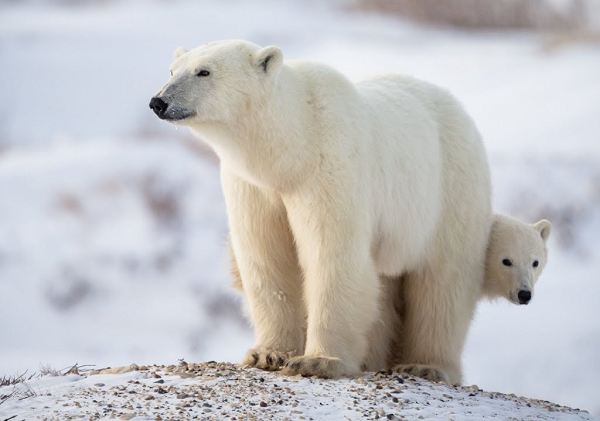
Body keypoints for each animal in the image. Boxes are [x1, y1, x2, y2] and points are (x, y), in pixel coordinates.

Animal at [150, 40, 492, 384]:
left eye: (204, 71)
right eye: (172, 71)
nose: (158, 102)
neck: (293, 145)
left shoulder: (329, 167)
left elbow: (332, 253)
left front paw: (317, 361)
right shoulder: (253, 187)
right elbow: (269, 258)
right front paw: (267, 354)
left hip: (451, 190)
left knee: (443, 283)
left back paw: (426, 365)